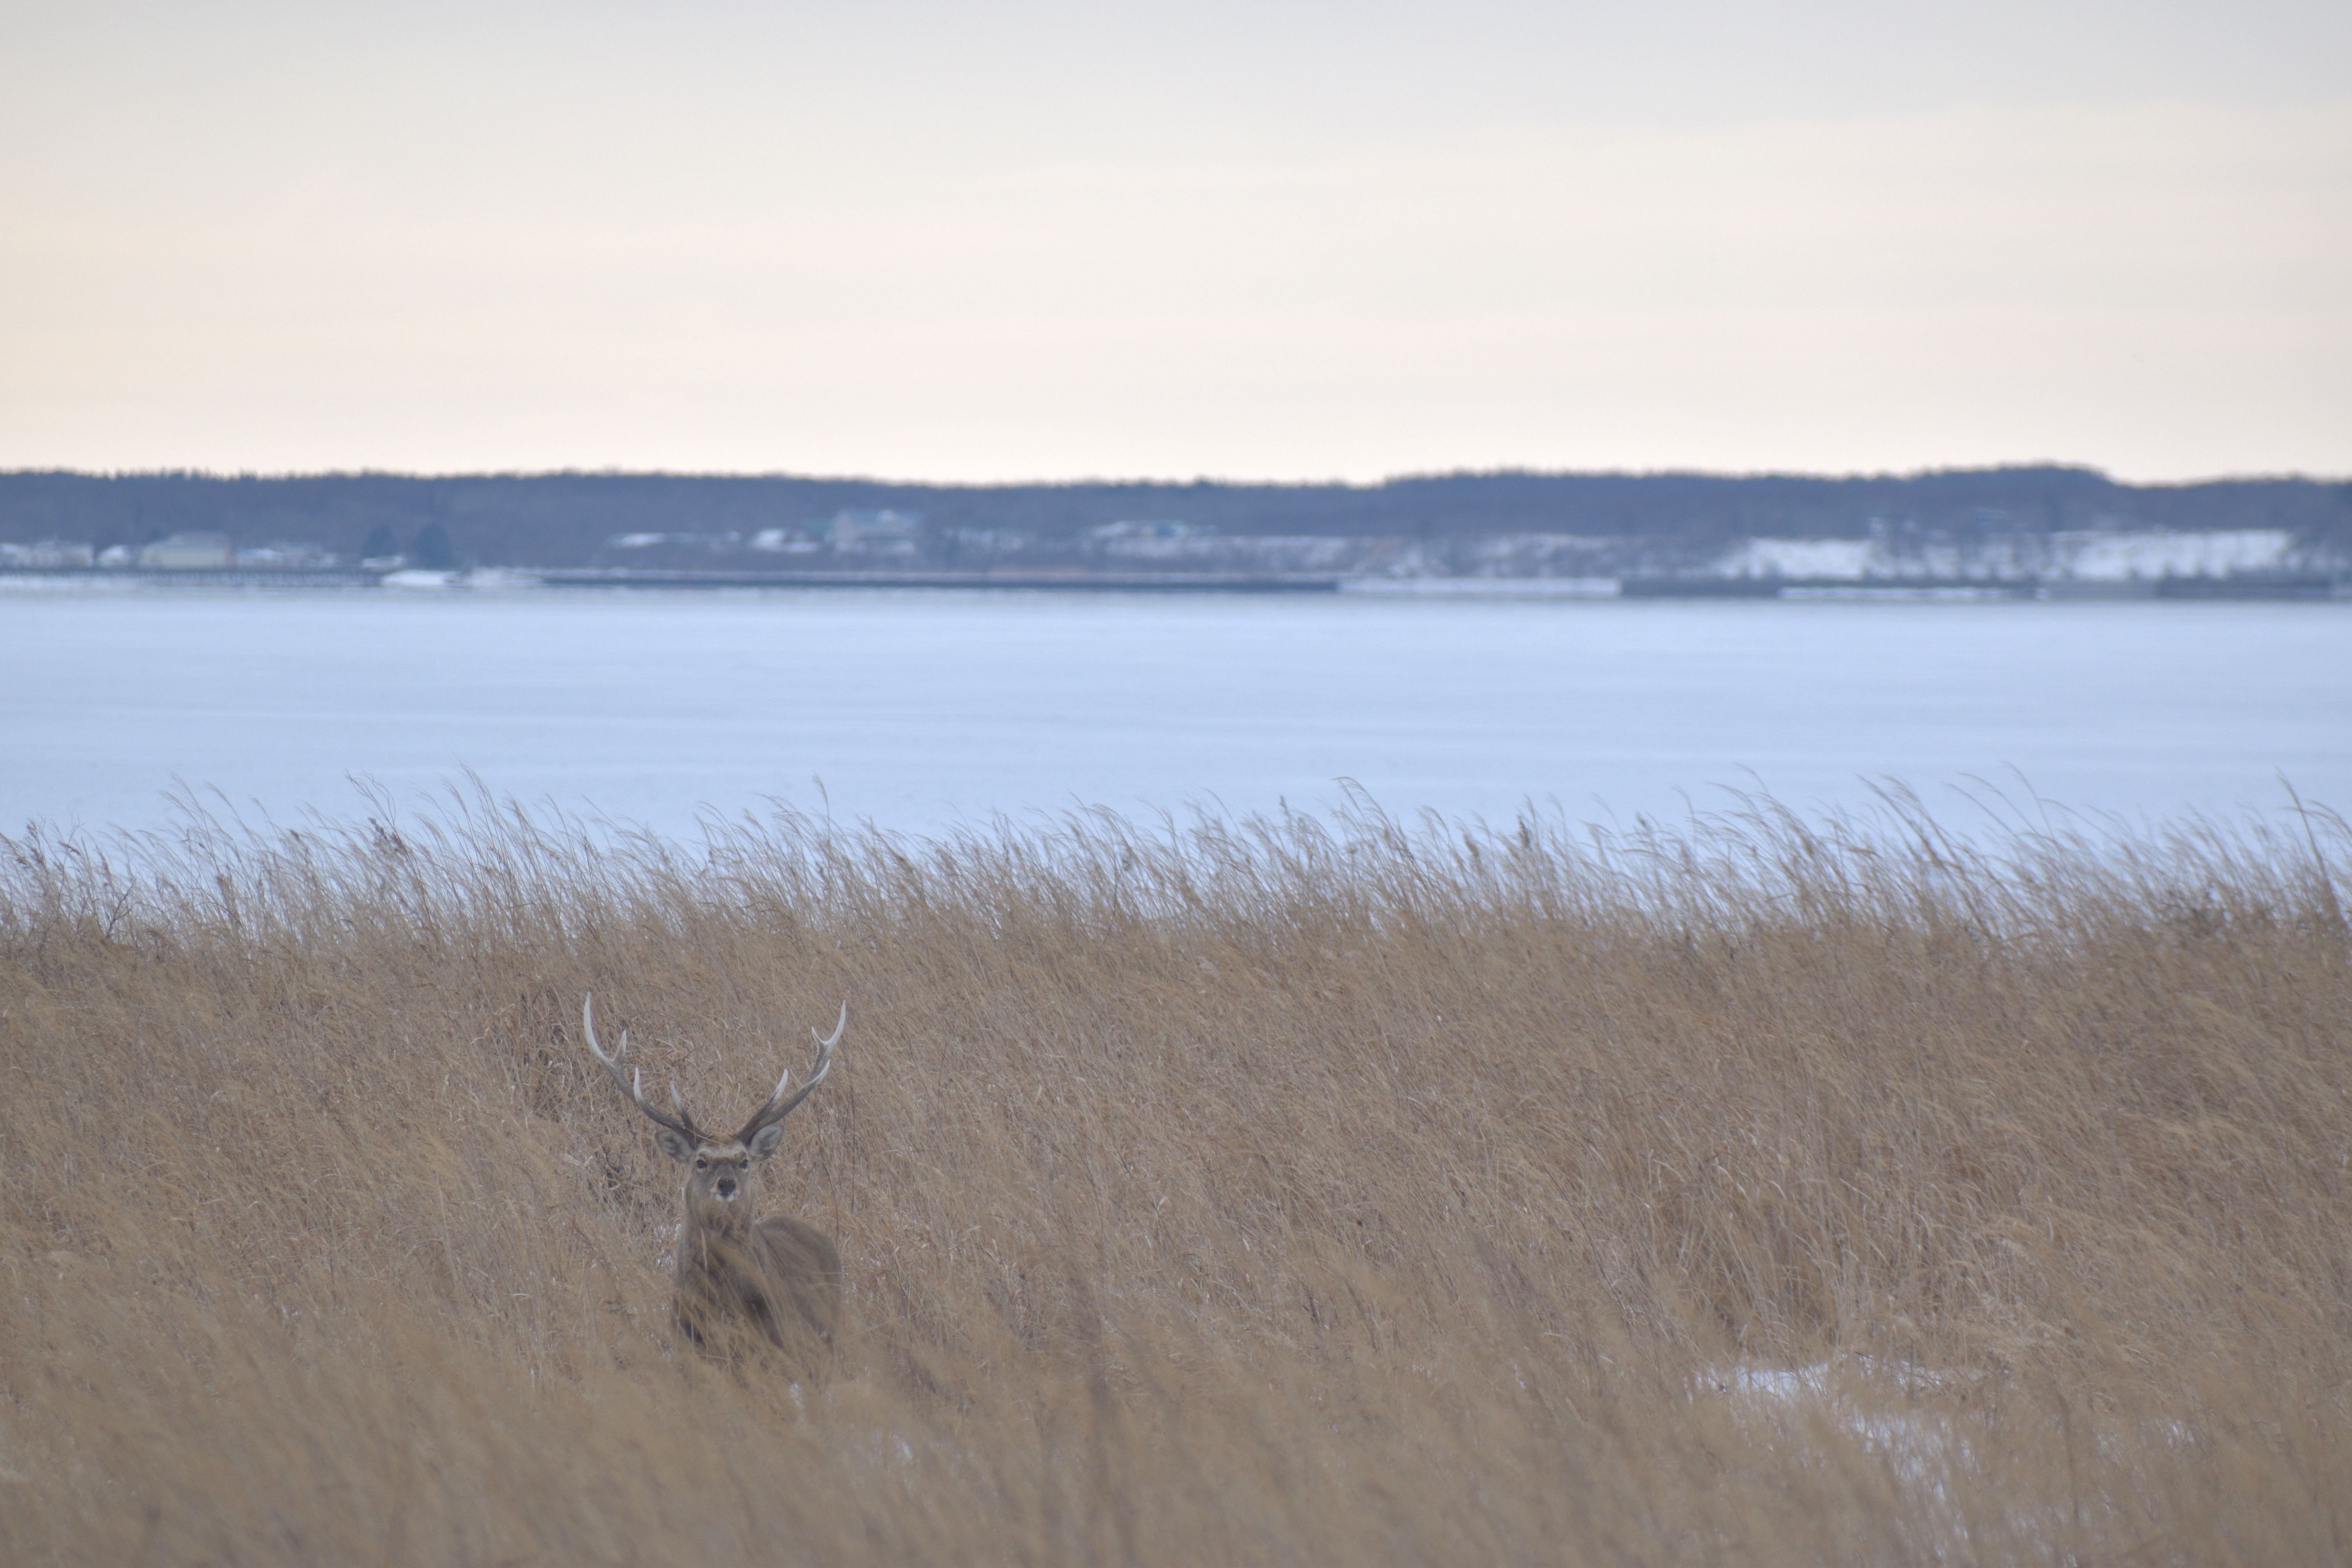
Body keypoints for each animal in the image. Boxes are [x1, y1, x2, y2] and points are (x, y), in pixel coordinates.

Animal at [583, 994, 846, 1374]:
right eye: (701, 1161)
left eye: (744, 1161)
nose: (726, 1184)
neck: (723, 1304)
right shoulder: (686, 1343)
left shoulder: (777, 1346)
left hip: (827, 1336)